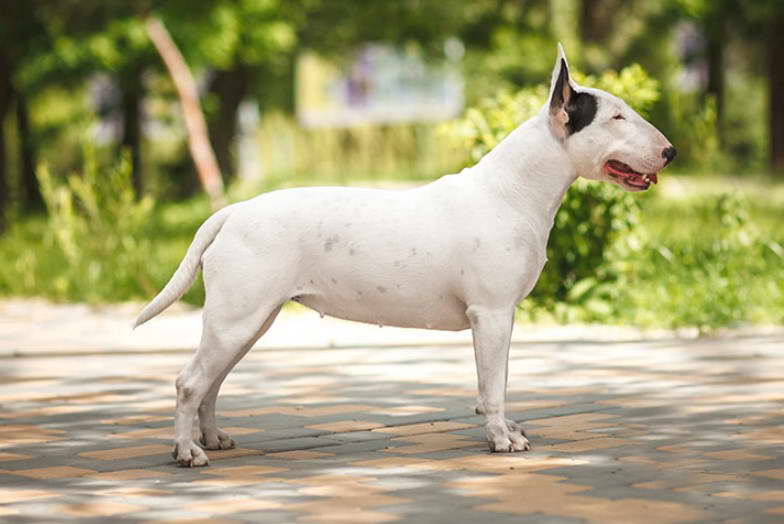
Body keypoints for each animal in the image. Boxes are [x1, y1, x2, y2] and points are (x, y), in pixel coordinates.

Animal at [135, 45, 672, 466]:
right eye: (616, 117)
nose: (670, 152)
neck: (513, 190)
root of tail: (232, 211)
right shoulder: (491, 314)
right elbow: (492, 387)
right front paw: (502, 440)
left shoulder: (502, 317)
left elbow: (497, 381)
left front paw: (507, 429)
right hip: (236, 318)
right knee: (189, 382)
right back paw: (187, 452)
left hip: (248, 321)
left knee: (211, 383)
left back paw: (212, 439)